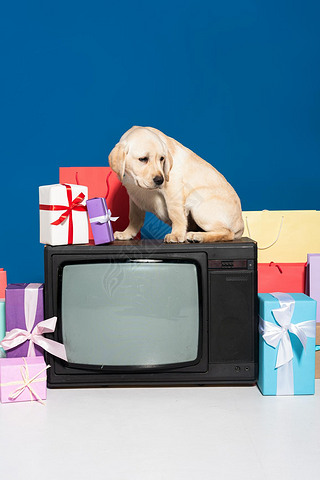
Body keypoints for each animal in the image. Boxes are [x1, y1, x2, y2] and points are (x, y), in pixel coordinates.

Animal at [109, 125, 244, 242]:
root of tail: (241, 226)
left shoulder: (173, 188)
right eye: (143, 159)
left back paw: (197, 236)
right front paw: (127, 233)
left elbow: (175, 214)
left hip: (197, 203)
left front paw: (176, 234)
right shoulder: (134, 195)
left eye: (162, 159)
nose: (160, 180)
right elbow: (134, 217)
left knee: (228, 232)